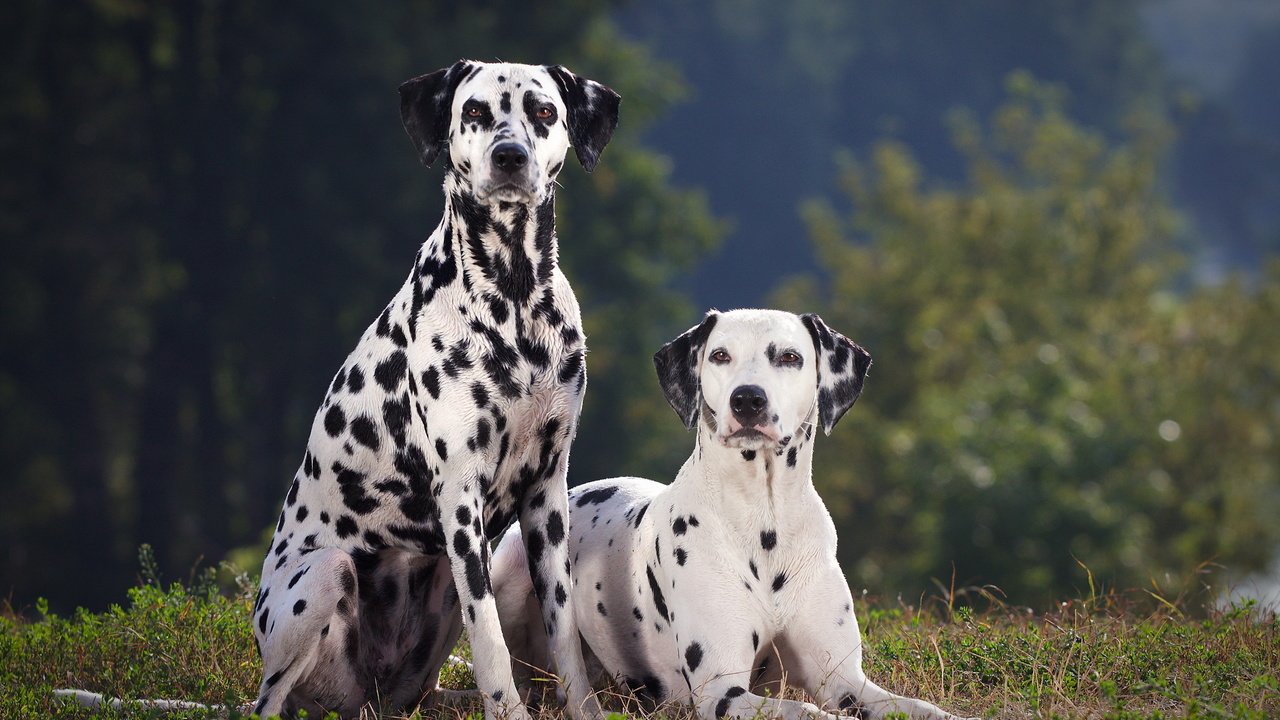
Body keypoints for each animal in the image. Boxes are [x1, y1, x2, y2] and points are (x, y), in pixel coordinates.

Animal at [243, 61, 614, 717]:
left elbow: (564, 630)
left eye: (544, 112)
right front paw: (509, 710)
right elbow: (489, 637)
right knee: (267, 701)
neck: (515, 298)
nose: (510, 155)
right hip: (326, 574)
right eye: (475, 112)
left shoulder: (547, 494)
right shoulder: (461, 503)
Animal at [488, 308, 967, 717]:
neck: (764, 520)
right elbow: (804, 710)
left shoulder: (846, 681)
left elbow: (920, 708)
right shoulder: (722, 690)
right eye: (720, 355)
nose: (747, 399)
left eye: (790, 357)